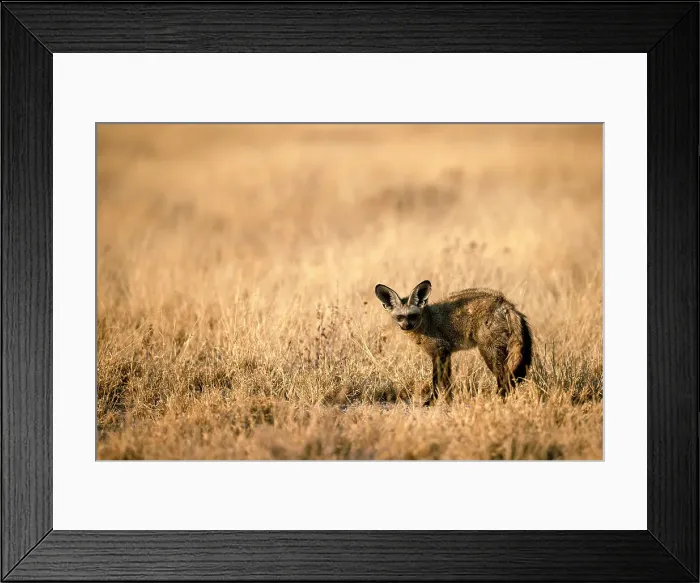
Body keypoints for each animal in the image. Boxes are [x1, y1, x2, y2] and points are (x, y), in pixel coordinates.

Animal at [374, 280, 532, 403]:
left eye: (413, 316)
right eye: (400, 317)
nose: (407, 326)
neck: (428, 321)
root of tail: (505, 302)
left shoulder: (440, 351)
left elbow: (437, 381)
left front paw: (432, 402)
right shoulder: (445, 353)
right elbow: (447, 382)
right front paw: (449, 401)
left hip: (488, 352)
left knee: (505, 378)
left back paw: (500, 399)